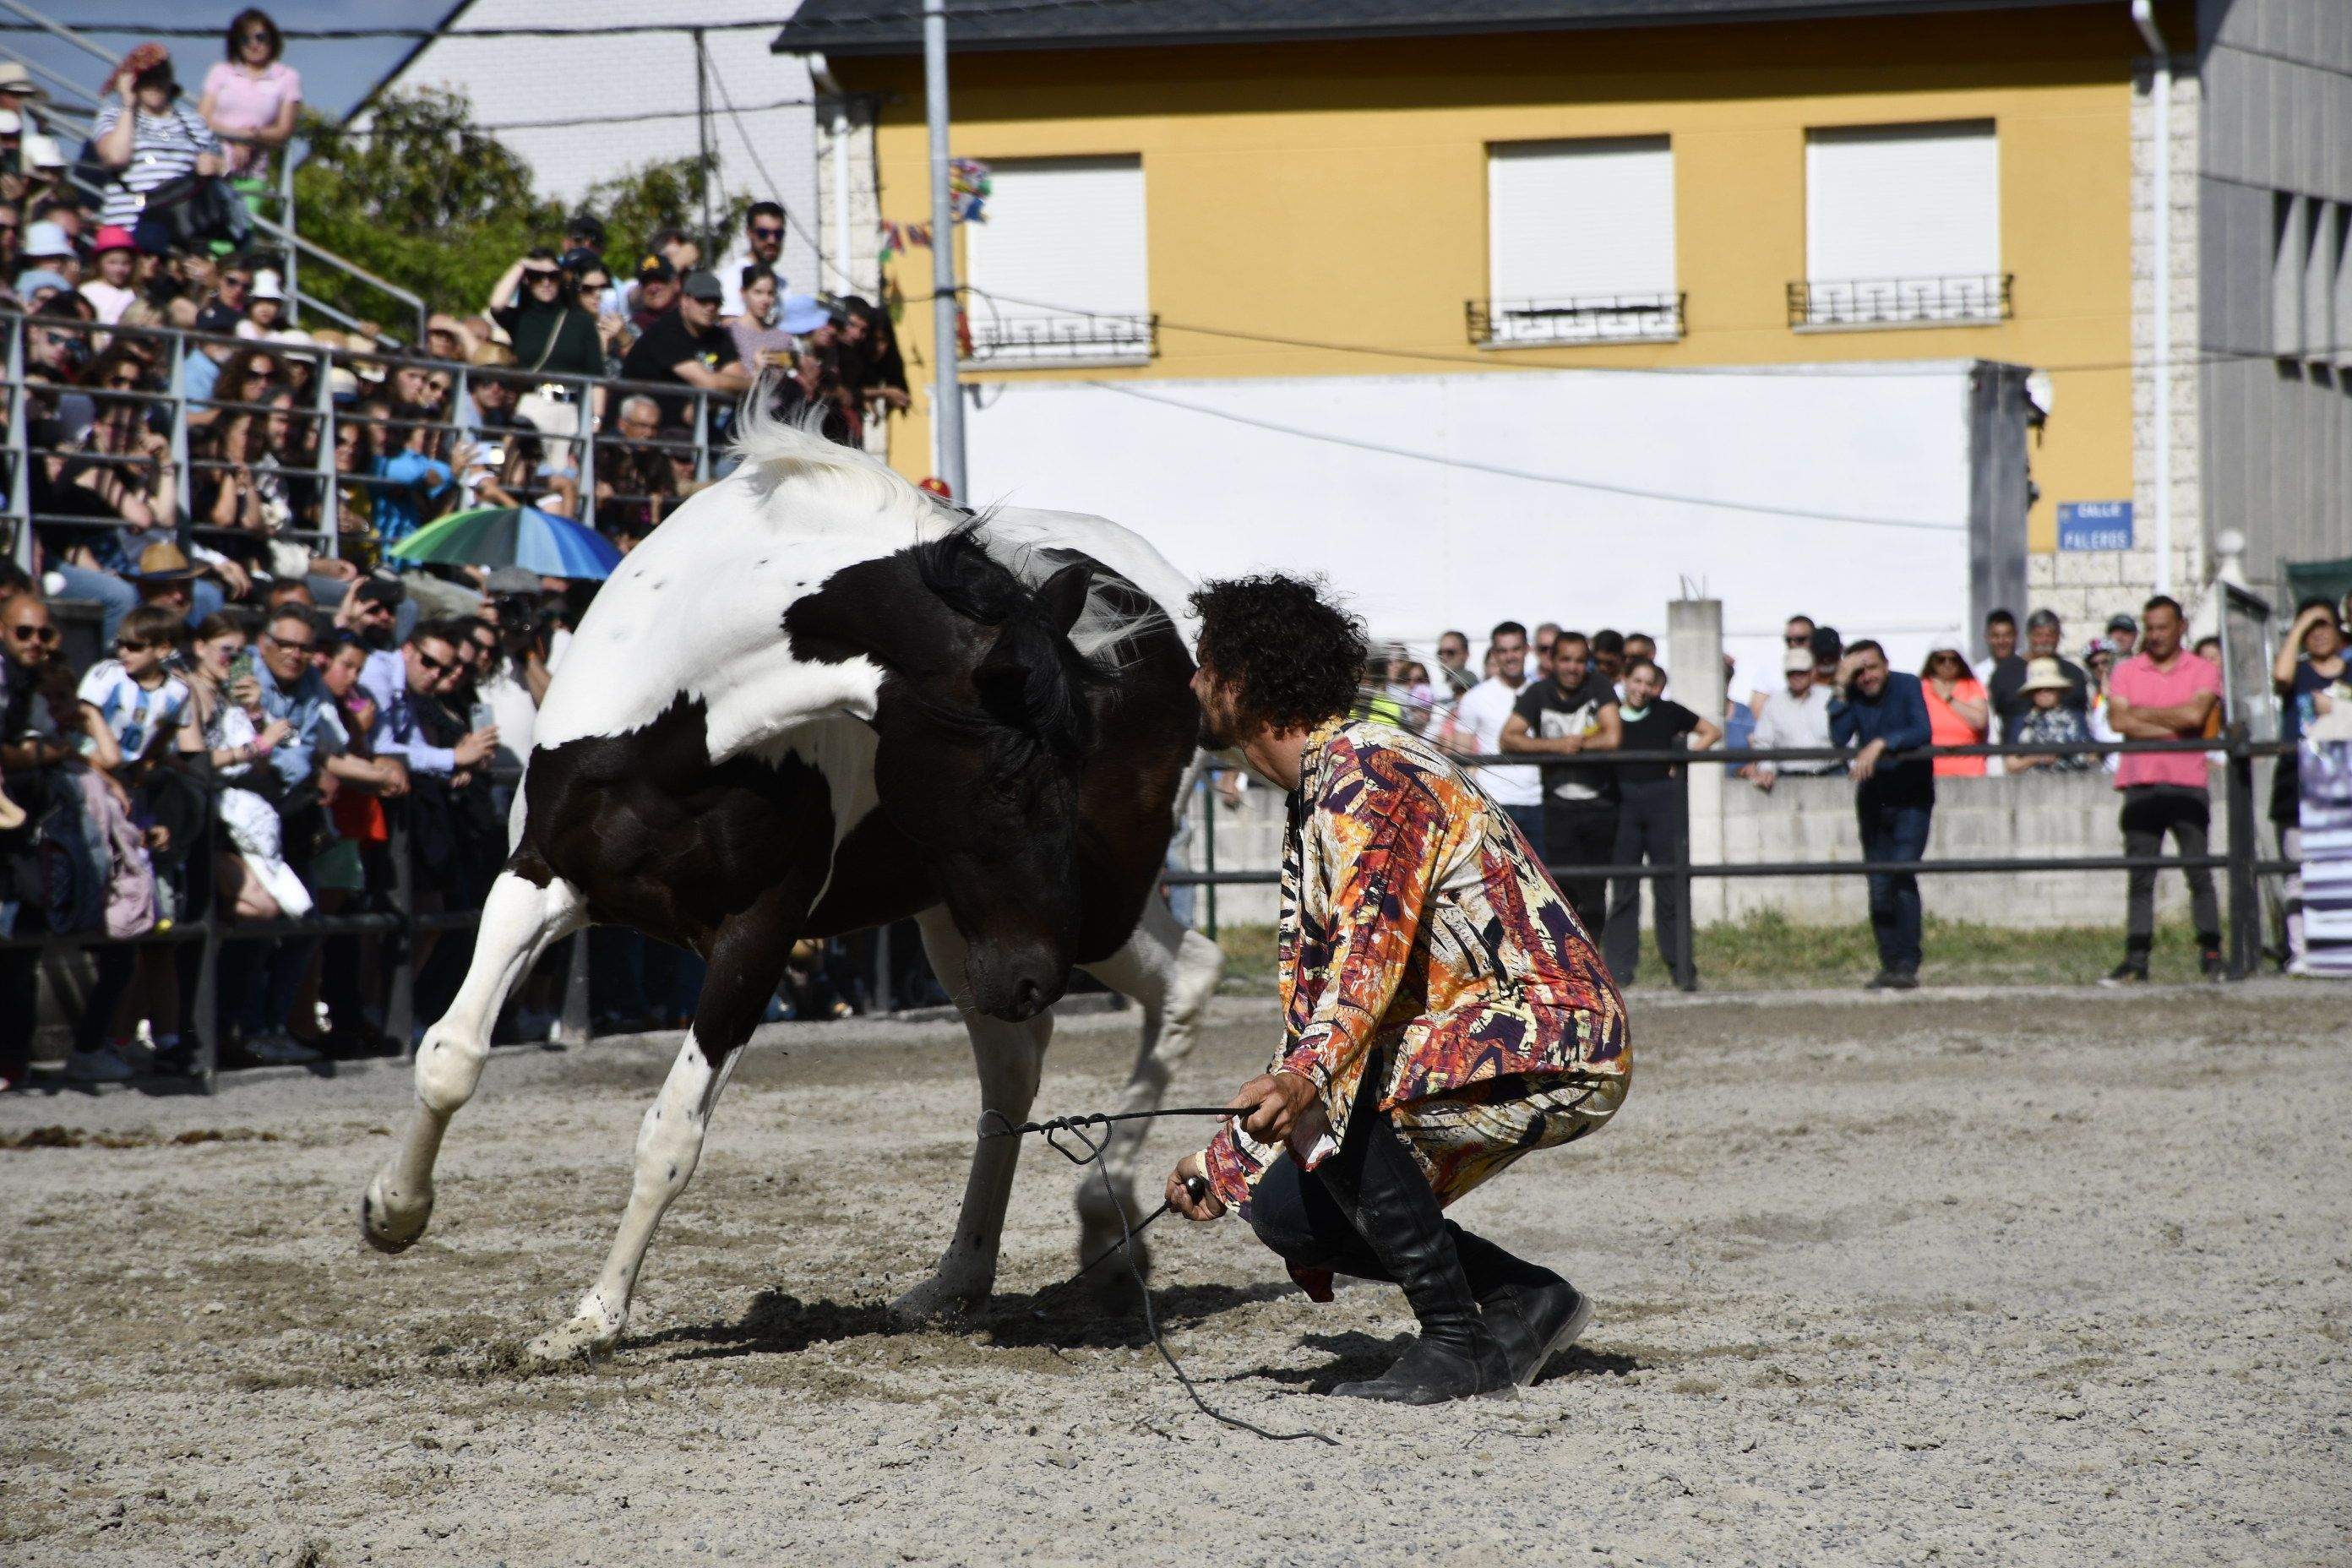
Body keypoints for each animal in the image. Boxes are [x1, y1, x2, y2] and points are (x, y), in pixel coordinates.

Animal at [362, 409, 1232, 1363]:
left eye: (1076, 764)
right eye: (1012, 773)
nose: (1037, 974)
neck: (689, 716)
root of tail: (1170, 597)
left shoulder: (759, 932)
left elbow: (671, 1134)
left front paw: (591, 1318)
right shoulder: (538, 879)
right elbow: (450, 1054)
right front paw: (394, 1212)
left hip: (1083, 917)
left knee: (1185, 979)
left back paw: (1103, 1229)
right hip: (966, 926)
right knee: (1013, 1066)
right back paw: (958, 1279)